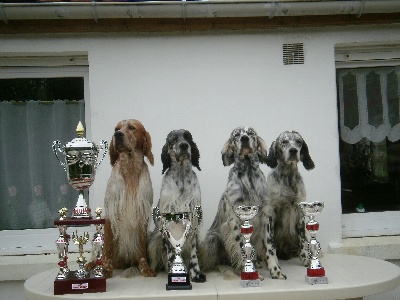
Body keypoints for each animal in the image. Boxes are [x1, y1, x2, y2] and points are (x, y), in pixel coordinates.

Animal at [101, 119, 156, 276]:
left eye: (132, 127)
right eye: (116, 129)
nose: (117, 135)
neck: (130, 168)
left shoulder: (143, 213)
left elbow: (142, 249)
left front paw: (145, 268)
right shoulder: (111, 213)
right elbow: (107, 249)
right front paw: (105, 270)